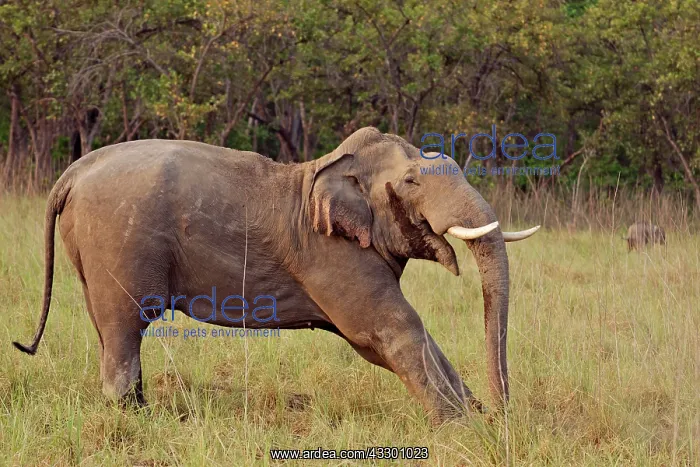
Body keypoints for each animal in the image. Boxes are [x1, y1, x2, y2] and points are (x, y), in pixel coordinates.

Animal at [13, 127, 539, 424]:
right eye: (411, 182)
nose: (503, 413)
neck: (327, 168)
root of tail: (72, 172)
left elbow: (396, 336)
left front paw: (474, 419)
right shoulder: (331, 254)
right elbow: (389, 331)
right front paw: (462, 429)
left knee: (108, 328)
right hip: (120, 242)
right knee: (125, 326)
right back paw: (133, 420)